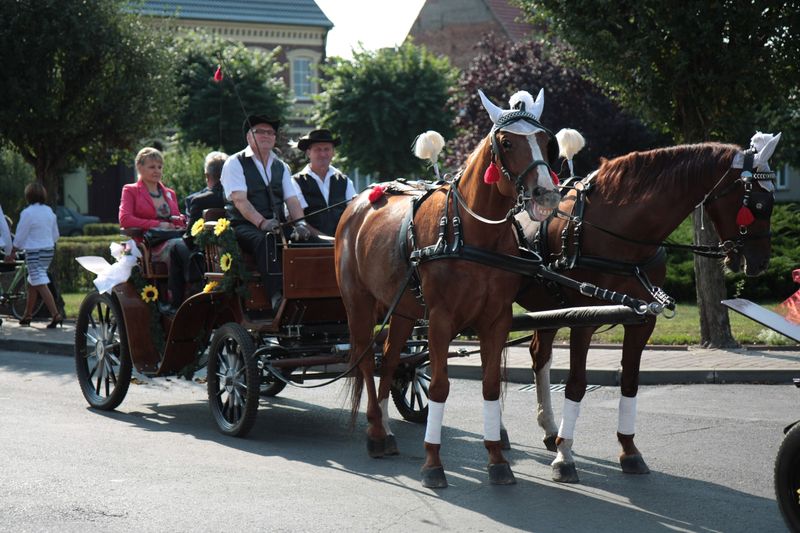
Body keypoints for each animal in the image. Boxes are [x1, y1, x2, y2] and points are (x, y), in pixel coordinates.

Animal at [334, 89, 560, 488]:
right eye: (506, 142)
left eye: (546, 142)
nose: (546, 195)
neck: (469, 233)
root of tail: (357, 205)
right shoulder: (440, 320)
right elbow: (439, 386)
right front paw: (433, 464)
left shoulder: (496, 319)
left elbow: (490, 386)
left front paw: (496, 459)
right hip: (358, 304)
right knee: (365, 359)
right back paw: (375, 432)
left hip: (403, 309)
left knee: (389, 359)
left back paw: (386, 428)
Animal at [512, 133, 780, 482]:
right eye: (759, 203)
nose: (760, 263)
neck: (619, 232)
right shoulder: (583, 322)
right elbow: (576, 384)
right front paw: (565, 455)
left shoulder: (640, 320)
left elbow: (629, 381)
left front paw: (629, 450)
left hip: (545, 309)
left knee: (538, 357)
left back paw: (547, 429)